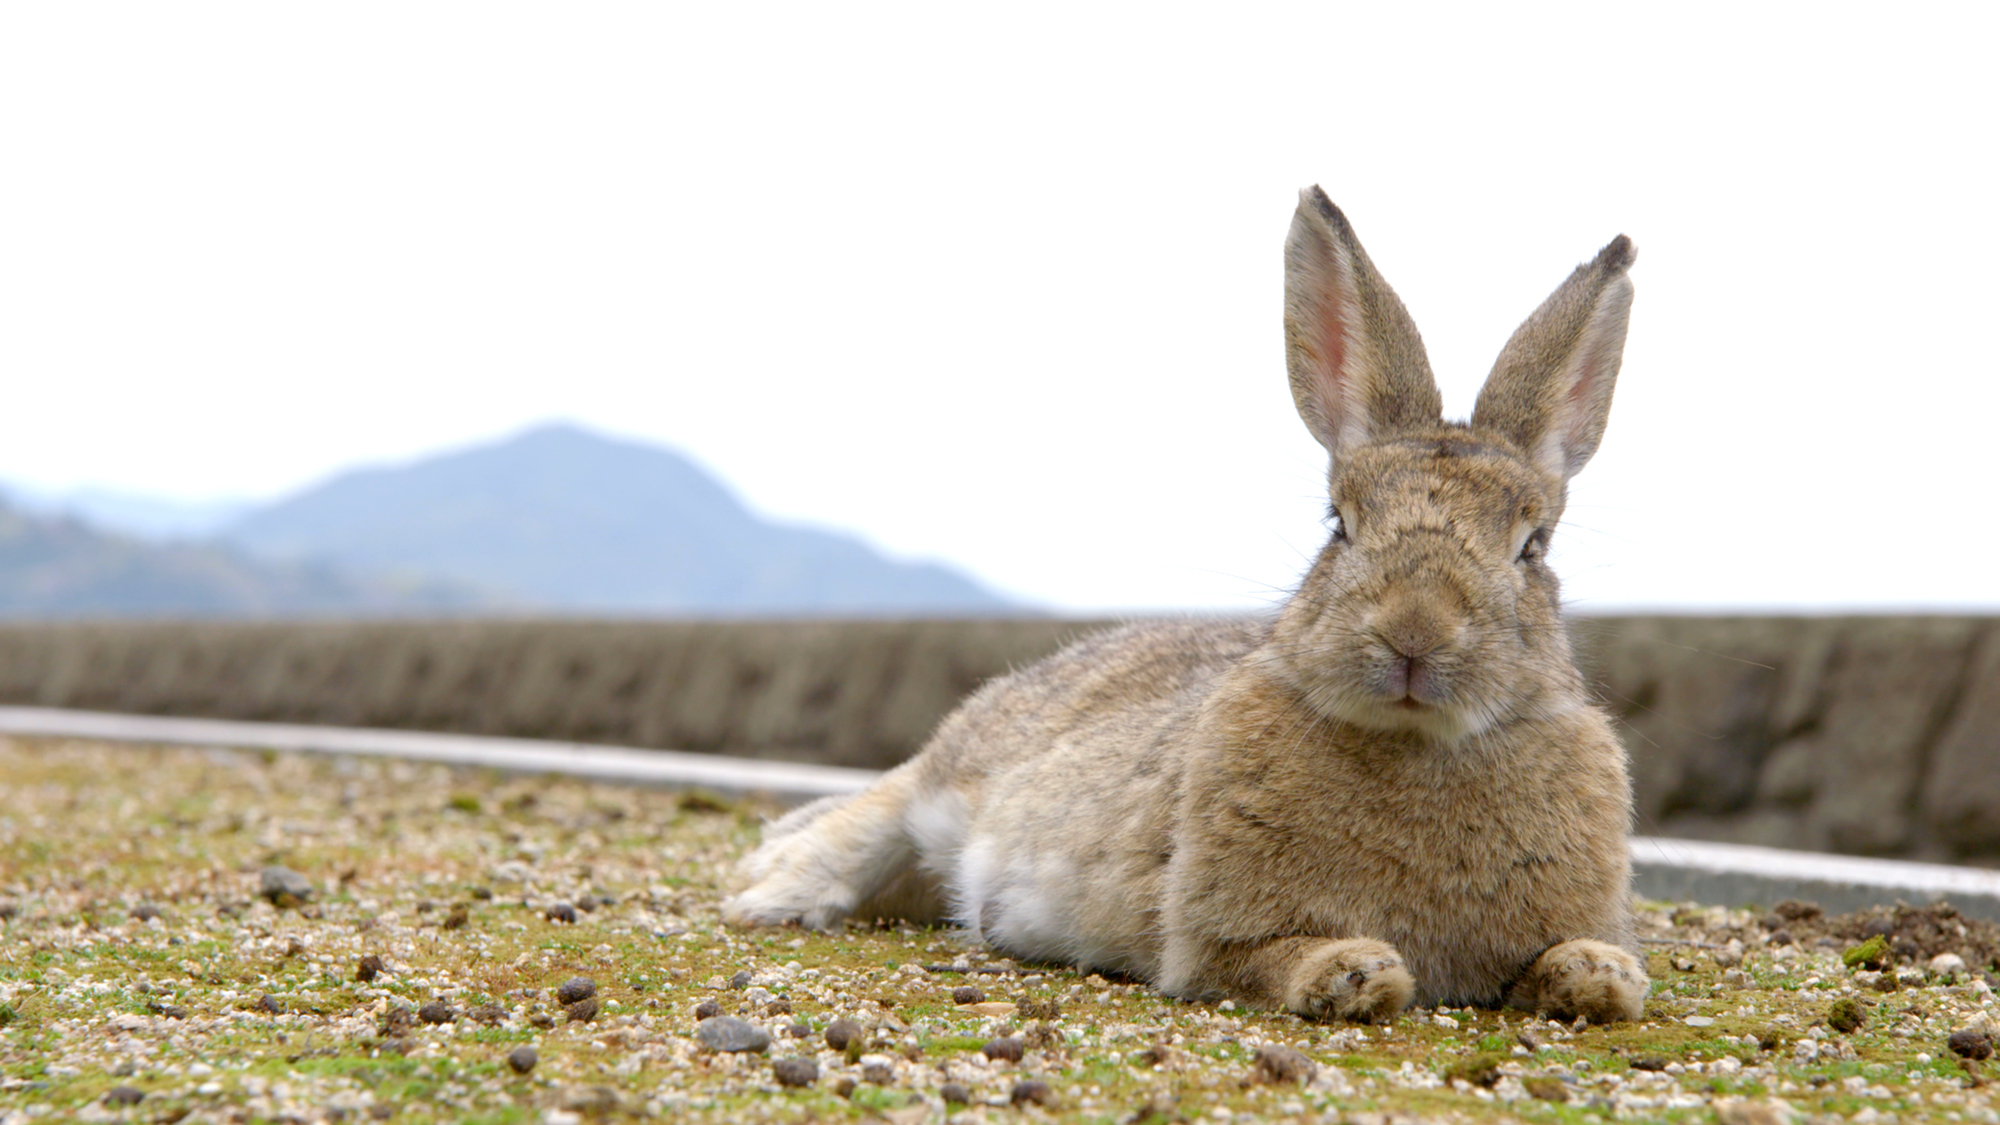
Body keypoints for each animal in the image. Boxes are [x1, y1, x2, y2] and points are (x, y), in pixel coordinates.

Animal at [728, 188, 1648, 1020]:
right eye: (1339, 524)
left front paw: (1603, 975)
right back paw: (769, 889)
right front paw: (1354, 970)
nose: (1413, 632)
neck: (1420, 743)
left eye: (1532, 547)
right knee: (877, 814)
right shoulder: (1211, 936)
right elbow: (1267, 958)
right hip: (955, 775)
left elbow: (1557, 962)